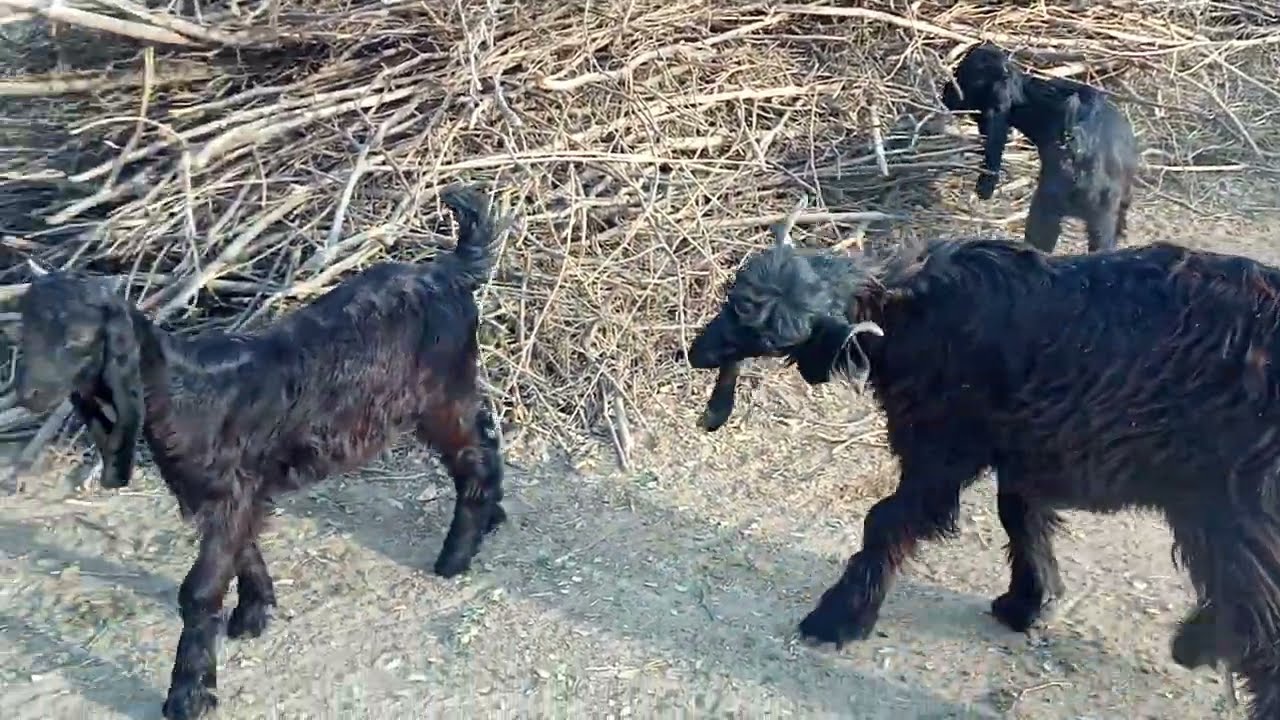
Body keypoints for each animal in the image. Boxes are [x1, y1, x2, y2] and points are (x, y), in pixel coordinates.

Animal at [10, 185, 508, 720]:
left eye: (79, 340)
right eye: (23, 333)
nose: (26, 394)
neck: (188, 391)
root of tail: (447, 271)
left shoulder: (230, 491)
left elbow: (200, 589)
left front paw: (190, 693)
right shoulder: (224, 490)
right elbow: (243, 547)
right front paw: (253, 612)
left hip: (440, 392)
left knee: (475, 451)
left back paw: (457, 553)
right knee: (483, 435)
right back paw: (491, 518)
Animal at [686, 228, 1280, 720]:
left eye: (776, 337)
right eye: (732, 302)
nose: (697, 352)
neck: (911, 313)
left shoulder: (942, 449)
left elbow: (886, 521)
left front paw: (838, 619)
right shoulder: (1021, 449)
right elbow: (1019, 517)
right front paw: (1030, 601)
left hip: (1236, 506)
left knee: (1260, 616)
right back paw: (1199, 642)